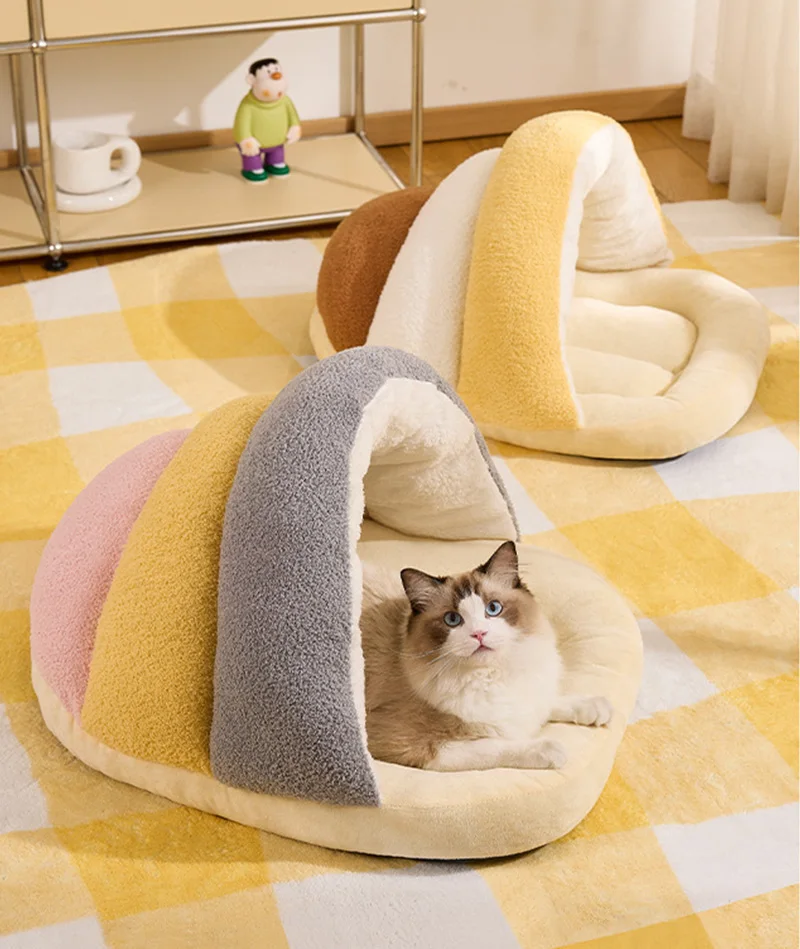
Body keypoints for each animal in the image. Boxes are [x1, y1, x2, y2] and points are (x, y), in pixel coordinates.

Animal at [360, 540, 612, 772]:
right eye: (452, 620)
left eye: (493, 608)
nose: (479, 634)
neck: (492, 674)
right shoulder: (420, 747)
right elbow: (495, 745)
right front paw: (550, 749)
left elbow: (549, 702)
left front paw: (594, 708)